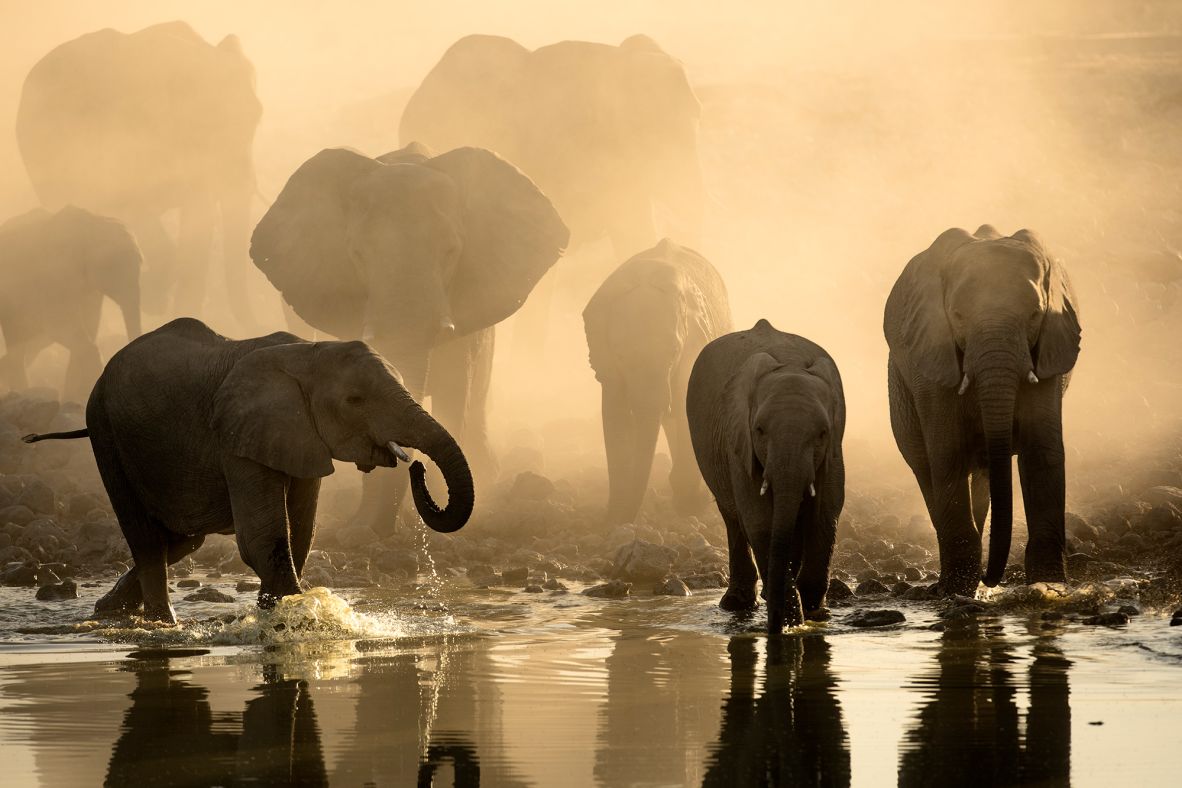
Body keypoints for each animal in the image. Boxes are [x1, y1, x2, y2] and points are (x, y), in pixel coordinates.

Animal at [0, 206, 142, 402]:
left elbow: (89, 328)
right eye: (113, 266)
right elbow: (61, 327)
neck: (93, 224)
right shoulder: (55, 273)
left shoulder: (90, 290)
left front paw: (73, 400)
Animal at [22, 318, 472, 623]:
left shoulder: (300, 437)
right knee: (148, 540)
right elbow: (262, 538)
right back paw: (162, 625)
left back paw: (107, 611)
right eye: (355, 399)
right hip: (105, 430)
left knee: (181, 540)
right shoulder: (237, 436)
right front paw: (295, 616)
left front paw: (277, 612)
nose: (416, 465)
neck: (309, 352)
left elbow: (301, 533)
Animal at [583, 238, 732, 524]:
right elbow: (615, 415)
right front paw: (614, 518)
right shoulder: (609, 365)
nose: (624, 519)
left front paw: (690, 506)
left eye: (673, 352)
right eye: (621, 354)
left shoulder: (692, 348)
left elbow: (687, 406)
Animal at [687, 319, 846, 634]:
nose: (773, 628)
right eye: (759, 430)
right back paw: (738, 604)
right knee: (733, 517)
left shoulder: (834, 449)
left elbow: (826, 512)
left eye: (822, 433)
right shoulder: (739, 443)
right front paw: (790, 621)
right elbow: (759, 518)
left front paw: (814, 614)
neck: (789, 363)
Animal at [884, 225, 1081, 595]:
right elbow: (947, 453)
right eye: (958, 316)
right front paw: (956, 592)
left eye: (1035, 315)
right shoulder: (933, 356)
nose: (993, 578)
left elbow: (1041, 451)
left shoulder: (1047, 350)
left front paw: (1049, 588)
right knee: (924, 465)